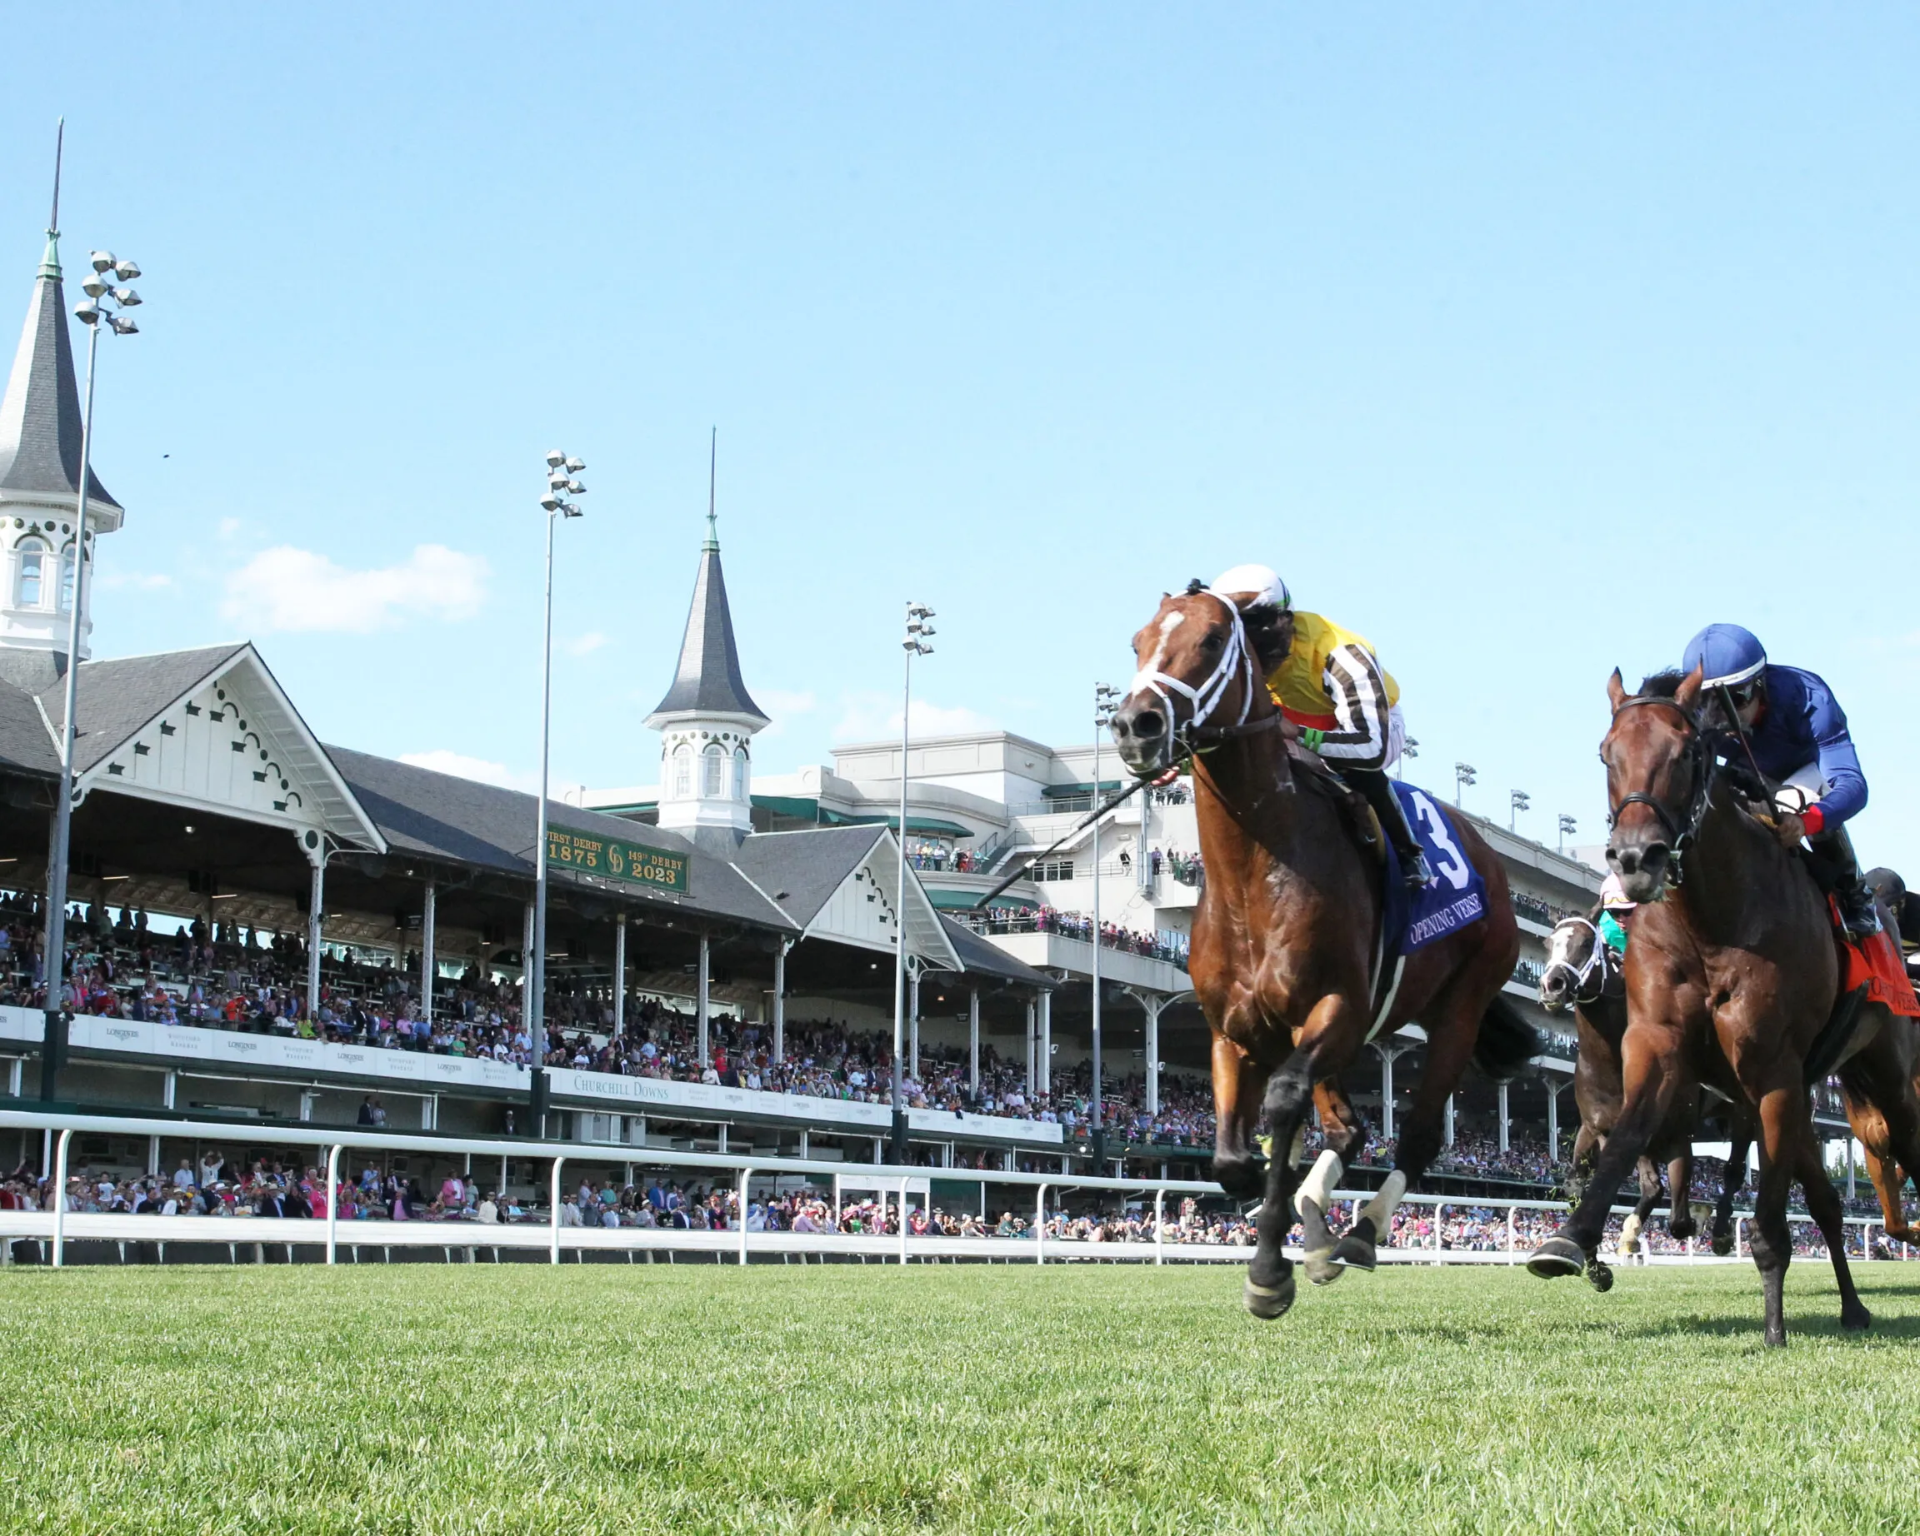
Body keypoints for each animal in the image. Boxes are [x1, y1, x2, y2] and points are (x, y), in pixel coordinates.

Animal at [1105, 583, 1536, 1313]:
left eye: (1212, 640)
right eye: (1137, 642)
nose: (1137, 724)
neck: (1256, 873)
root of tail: (1492, 864)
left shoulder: (1337, 1007)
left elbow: (1282, 1105)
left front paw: (1269, 1266)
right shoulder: (1235, 1029)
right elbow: (1231, 1154)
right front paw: (1266, 1214)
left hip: (1459, 1006)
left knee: (1418, 1132)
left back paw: (1359, 1232)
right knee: (1348, 1130)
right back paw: (1316, 1229)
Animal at [1528, 664, 1920, 1336]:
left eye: (1687, 753)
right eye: (1606, 753)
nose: (1636, 857)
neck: (1710, 920)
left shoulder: (1773, 1067)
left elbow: (1766, 1217)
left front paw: (1774, 1327)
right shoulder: (1656, 1048)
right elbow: (1623, 1150)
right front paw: (1573, 1241)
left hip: (1886, 1071)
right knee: (1824, 1200)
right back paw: (1850, 1305)